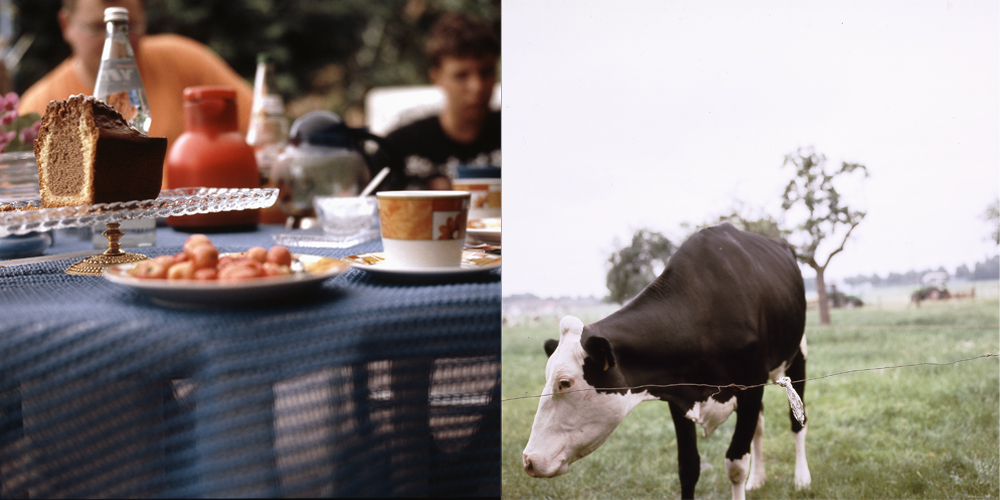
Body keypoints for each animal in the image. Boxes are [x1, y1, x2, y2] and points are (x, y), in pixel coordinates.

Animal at [524, 224, 812, 500]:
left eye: (564, 382)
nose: (529, 460)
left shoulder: (750, 387)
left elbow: (736, 464)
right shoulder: (679, 393)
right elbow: (688, 466)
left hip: (798, 354)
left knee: (796, 422)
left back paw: (801, 478)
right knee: (760, 428)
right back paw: (758, 479)